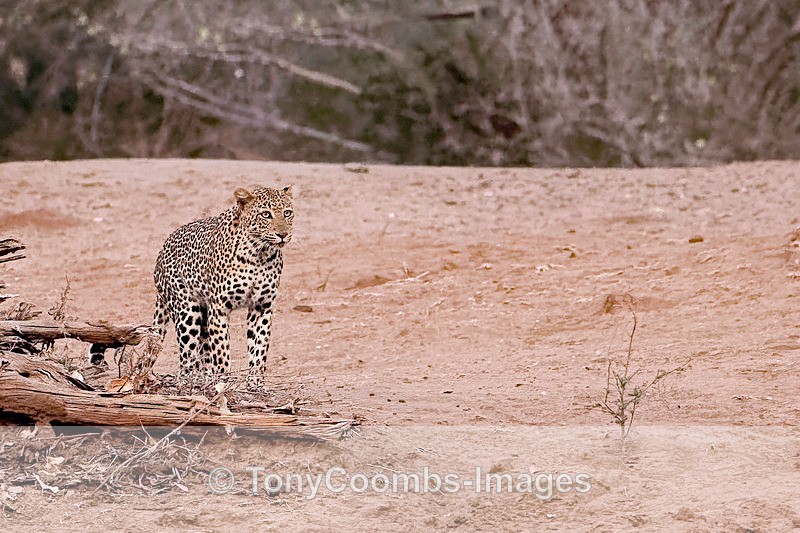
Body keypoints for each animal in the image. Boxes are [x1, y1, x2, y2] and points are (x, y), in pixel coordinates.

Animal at [153, 185, 294, 386]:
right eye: (266, 214)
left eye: (287, 212)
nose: (283, 235)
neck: (259, 254)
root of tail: (161, 251)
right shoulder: (219, 308)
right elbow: (221, 352)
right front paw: (223, 383)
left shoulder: (262, 307)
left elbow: (259, 347)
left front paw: (256, 384)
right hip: (187, 312)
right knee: (187, 359)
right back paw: (190, 382)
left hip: (202, 314)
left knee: (202, 354)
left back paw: (203, 379)